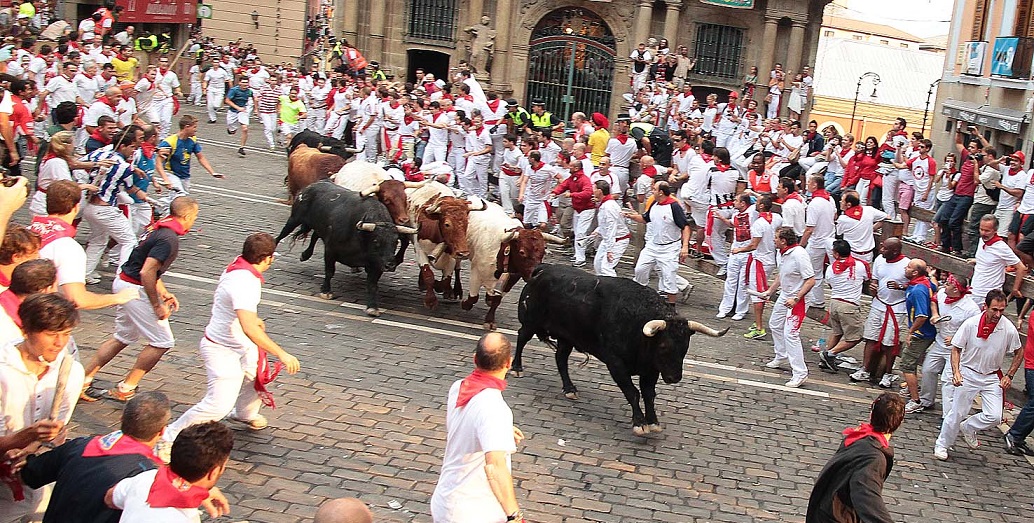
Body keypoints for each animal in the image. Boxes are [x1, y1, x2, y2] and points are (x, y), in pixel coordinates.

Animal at [277, 179, 417, 316]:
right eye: (376, 241)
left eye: (395, 242)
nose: (390, 265)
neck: (361, 236)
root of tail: (312, 185)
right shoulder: (330, 250)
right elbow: (329, 272)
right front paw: (326, 291)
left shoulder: (377, 264)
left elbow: (372, 284)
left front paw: (372, 307)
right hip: (294, 219)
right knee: (281, 235)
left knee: (315, 236)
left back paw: (305, 255)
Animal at [514, 263, 727, 436]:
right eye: (664, 345)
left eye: (685, 346)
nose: (675, 377)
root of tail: (543, 269)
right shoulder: (616, 364)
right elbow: (632, 392)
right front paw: (639, 423)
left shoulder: (651, 369)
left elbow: (649, 394)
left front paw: (653, 421)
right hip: (531, 322)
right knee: (522, 337)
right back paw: (517, 368)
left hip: (567, 337)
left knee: (561, 358)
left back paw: (570, 389)